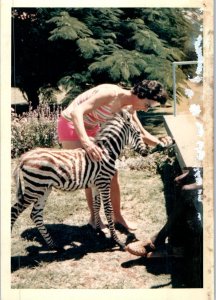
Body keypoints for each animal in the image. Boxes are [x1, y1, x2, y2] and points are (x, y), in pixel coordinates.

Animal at [11, 109, 148, 250]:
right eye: (138, 133)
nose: (147, 152)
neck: (105, 152)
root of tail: (24, 157)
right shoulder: (104, 182)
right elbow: (108, 209)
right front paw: (117, 241)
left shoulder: (96, 184)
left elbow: (96, 205)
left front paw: (98, 231)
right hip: (34, 188)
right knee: (15, 211)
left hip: (43, 188)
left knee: (36, 214)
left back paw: (53, 245)